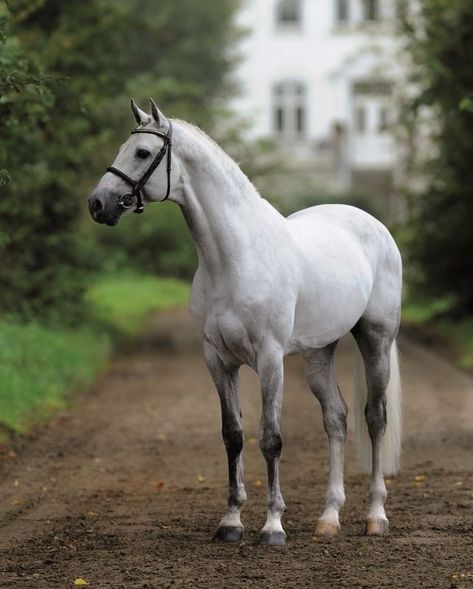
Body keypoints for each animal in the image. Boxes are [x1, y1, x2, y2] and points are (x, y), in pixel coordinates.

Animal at [90, 99, 400, 544]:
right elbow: (232, 435)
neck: (235, 256)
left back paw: (376, 516)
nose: (98, 204)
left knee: (374, 417)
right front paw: (231, 522)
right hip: (318, 352)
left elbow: (270, 438)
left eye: (143, 153)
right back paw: (328, 519)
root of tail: (373, 224)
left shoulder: (269, 359)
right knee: (337, 418)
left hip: (376, 339)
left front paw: (273, 526)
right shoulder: (218, 360)